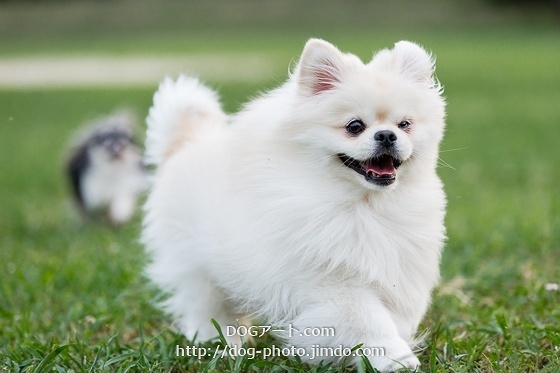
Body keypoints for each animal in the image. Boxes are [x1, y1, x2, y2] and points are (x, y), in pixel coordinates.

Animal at [143, 37, 446, 370]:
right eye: (354, 126)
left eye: (405, 124)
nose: (387, 135)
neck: (364, 205)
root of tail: (184, 143)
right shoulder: (335, 281)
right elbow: (371, 321)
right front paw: (394, 358)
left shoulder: (399, 268)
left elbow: (398, 317)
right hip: (199, 267)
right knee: (208, 306)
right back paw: (219, 342)